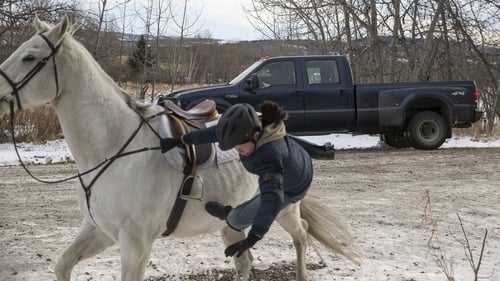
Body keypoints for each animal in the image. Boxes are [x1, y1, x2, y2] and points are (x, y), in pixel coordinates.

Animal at [0, 15, 360, 280]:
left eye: (30, 57)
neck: (114, 150)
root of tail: (278, 130)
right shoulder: (99, 230)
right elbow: (63, 264)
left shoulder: (136, 243)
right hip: (232, 225)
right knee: (245, 261)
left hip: (284, 209)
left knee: (302, 234)